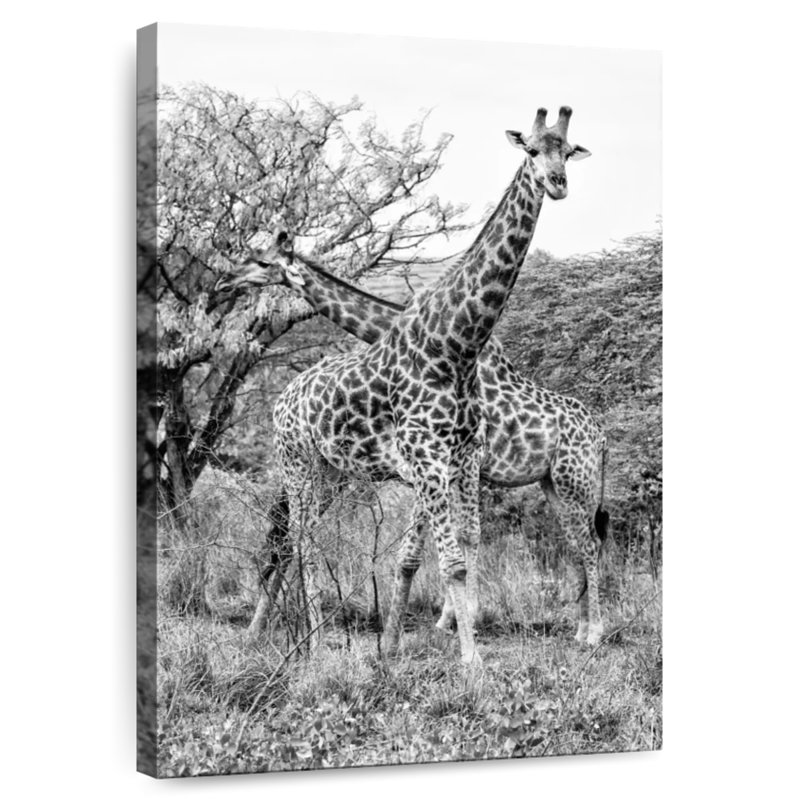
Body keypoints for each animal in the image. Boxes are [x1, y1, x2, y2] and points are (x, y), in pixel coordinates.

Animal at [220, 108, 592, 662]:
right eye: (530, 150)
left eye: (566, 152)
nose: (558, 183)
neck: (455, 343)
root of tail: (283, 398)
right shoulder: (426, 460)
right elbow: (440, 556)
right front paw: (458, 652)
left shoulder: (459, 457)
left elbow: (449, 549)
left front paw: (418, 640)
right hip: (302, 464)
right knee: (298, 540)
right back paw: (303, 640)